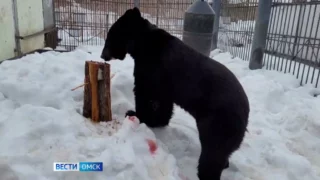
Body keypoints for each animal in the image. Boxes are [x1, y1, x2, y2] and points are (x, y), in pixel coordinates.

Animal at [100, 7, 250, 180]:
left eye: (109, 37)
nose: (103, 55)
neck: (141, 44)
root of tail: (245, 113)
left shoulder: (152, 68)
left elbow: (146, 93)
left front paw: (135, 114)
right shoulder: (164, 83)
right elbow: (163, 101)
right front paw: (158, 121)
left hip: (219, 122)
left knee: (214, 151)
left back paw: (205, 172)